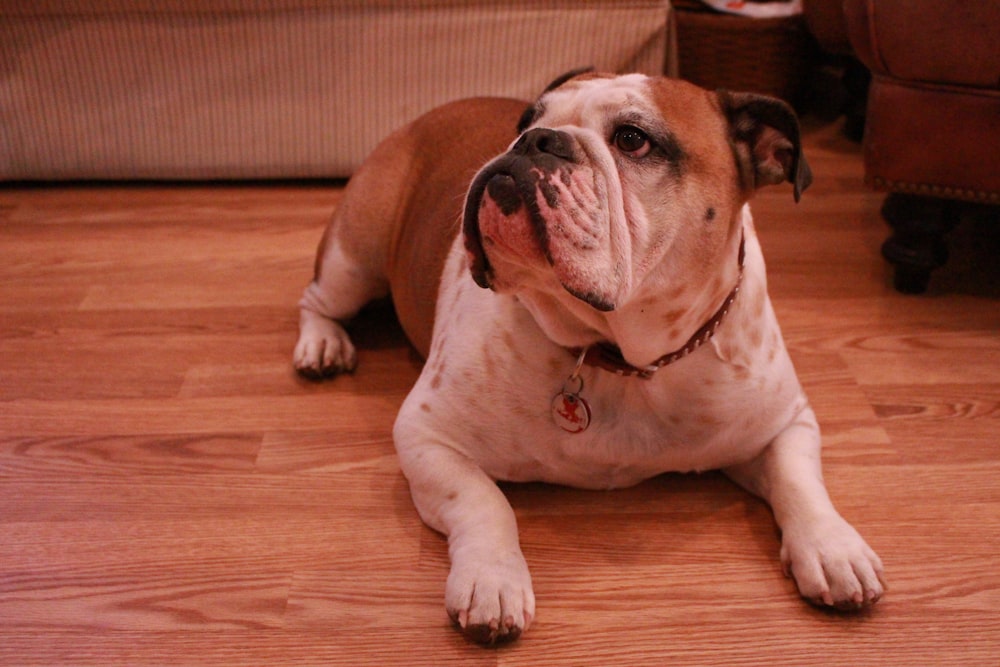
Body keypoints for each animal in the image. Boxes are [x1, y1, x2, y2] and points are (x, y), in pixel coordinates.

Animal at [294, 70, 884, 644]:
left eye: (633, 139)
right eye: (526, 120)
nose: (534, 140)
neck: (625, 356)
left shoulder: (785, 422)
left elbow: (798, 479)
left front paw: (834, 548)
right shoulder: (426, 433)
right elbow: (483, 502)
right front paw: (492, 579)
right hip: (355, 257)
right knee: (317, 299)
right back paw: (322, 345)